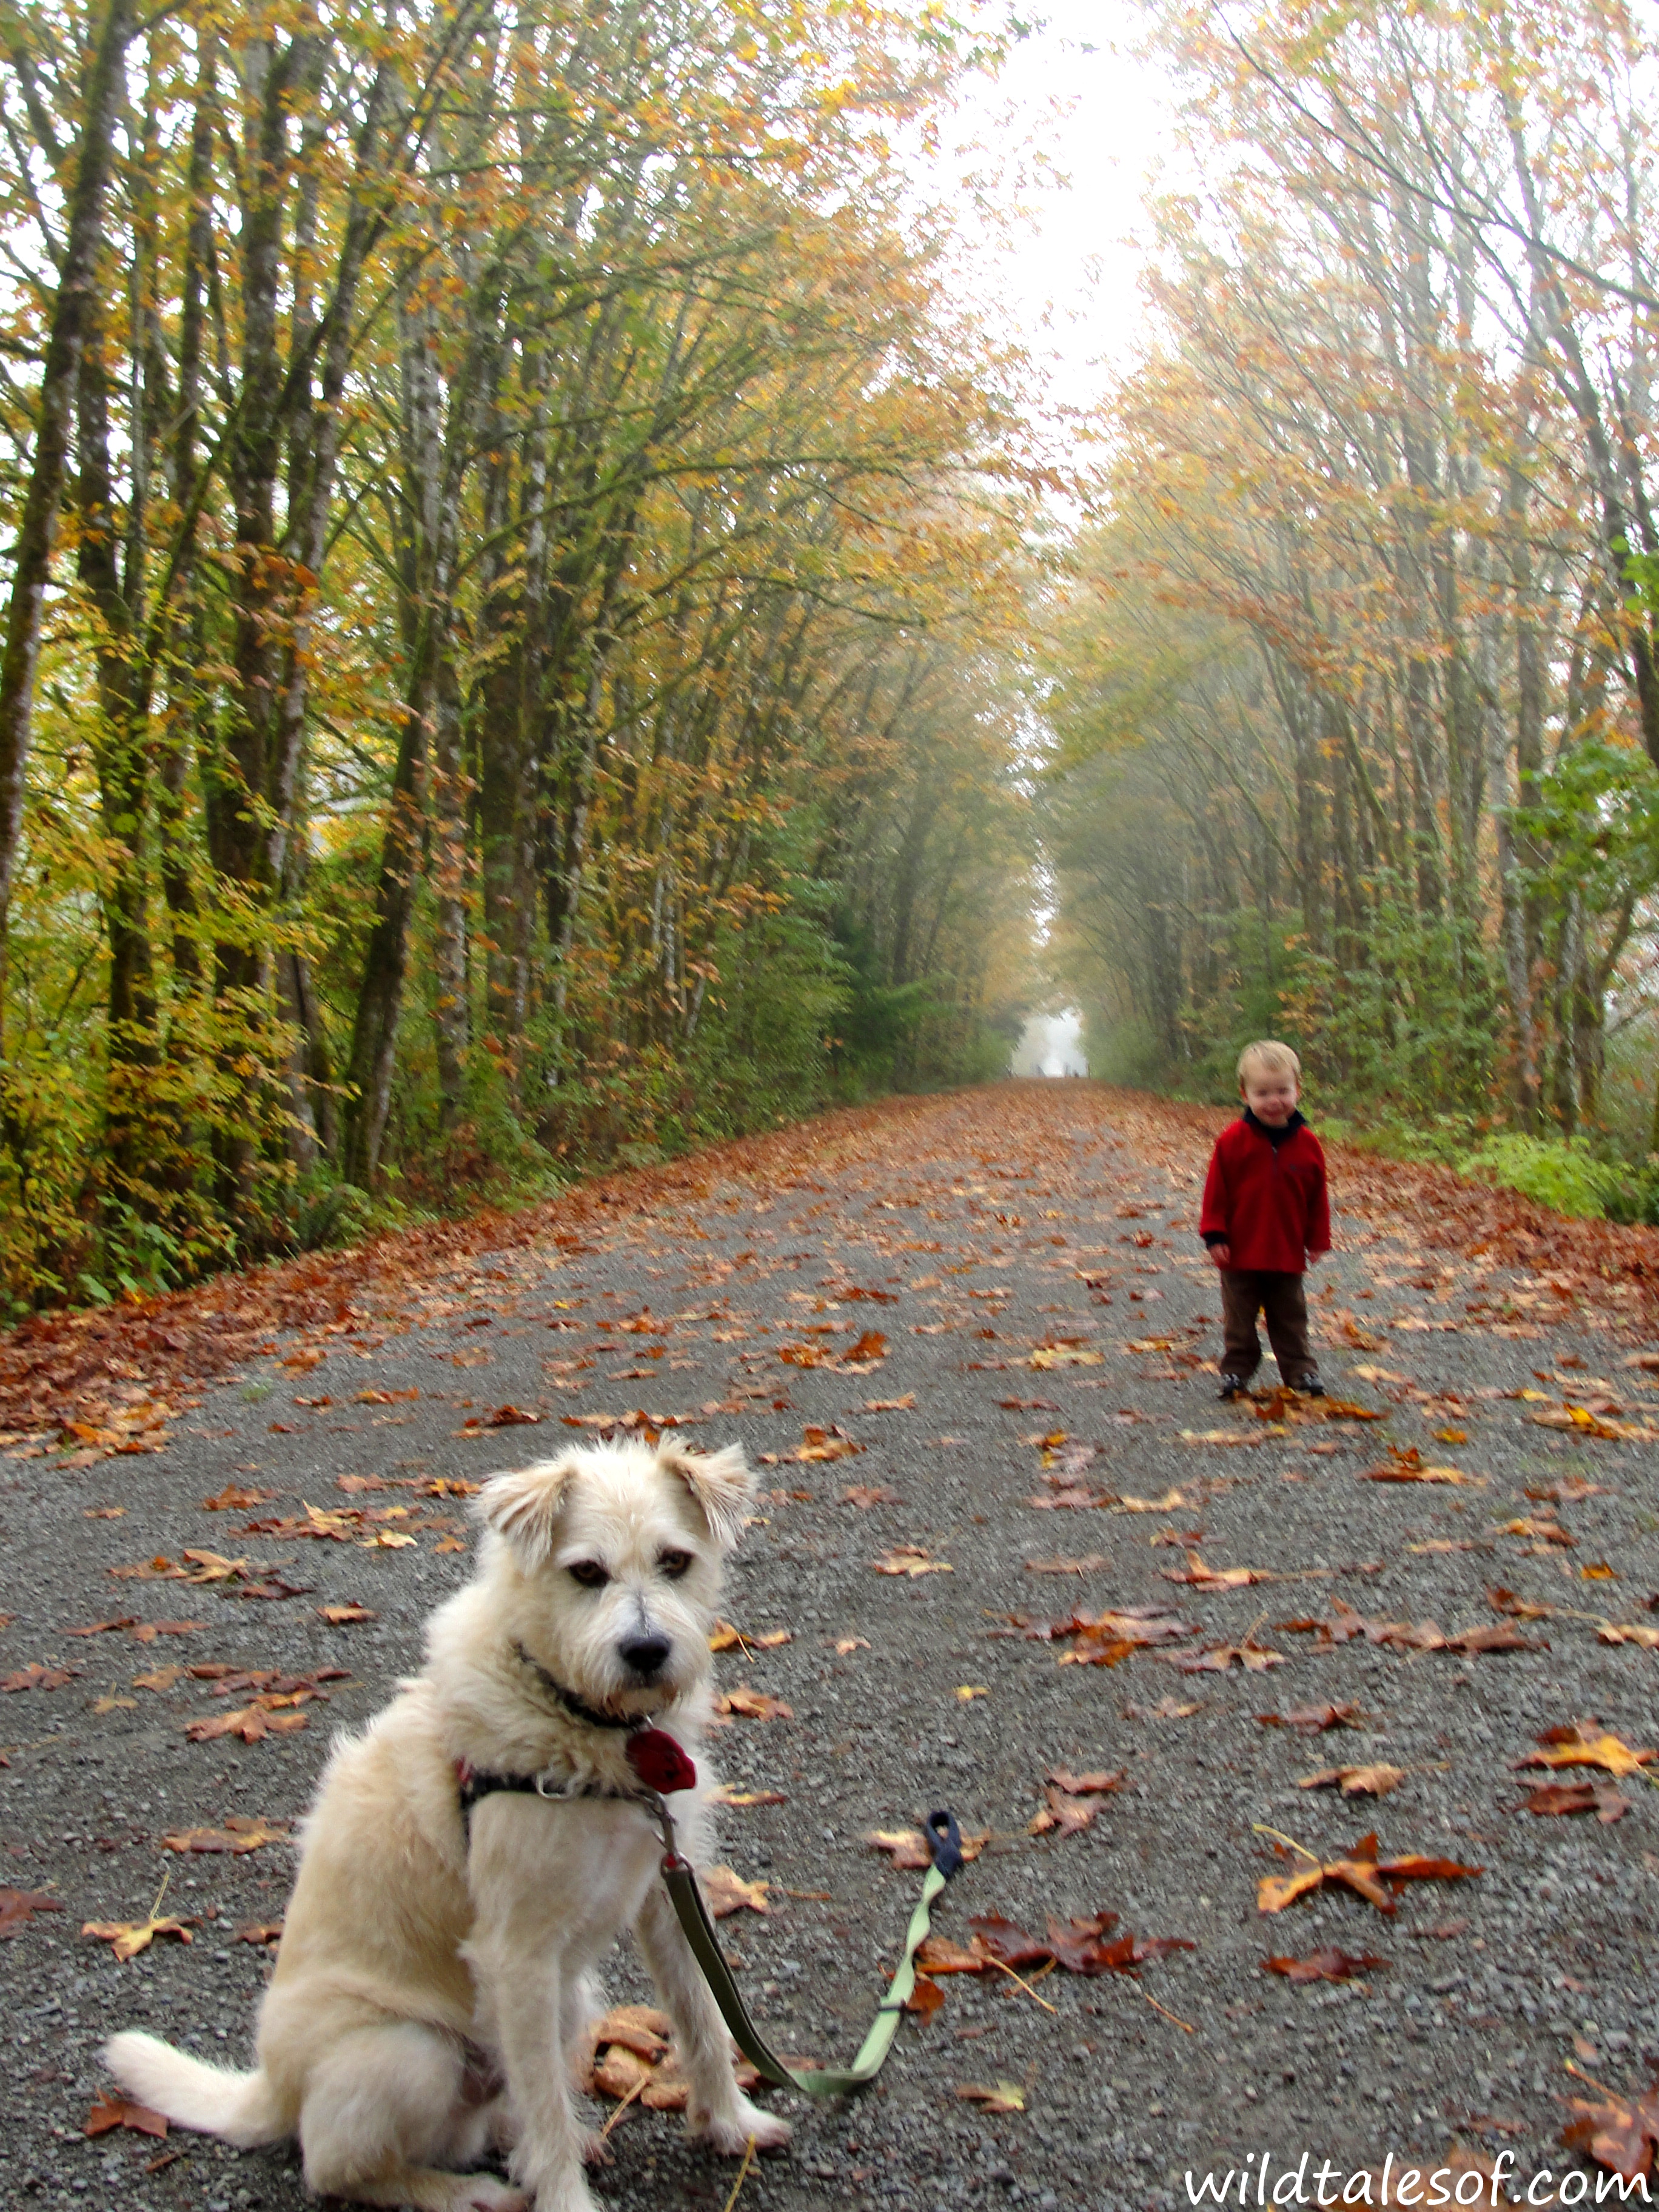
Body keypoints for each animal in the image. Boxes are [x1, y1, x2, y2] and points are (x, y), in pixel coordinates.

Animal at [107, 1442, 796, 2203]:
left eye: (675, 1560)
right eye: (587, 1571)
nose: (646, 1652)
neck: (579, 1718)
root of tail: (273, 2091)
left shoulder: (667, 1895)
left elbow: (703, 2018)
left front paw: (730, 2123)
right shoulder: (517, 1953)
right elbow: (546, 2103)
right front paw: (565, 2201)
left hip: (567, 2001)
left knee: (506, 2106)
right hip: (413, 2053)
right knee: (337, 2168)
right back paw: (466, 2192)